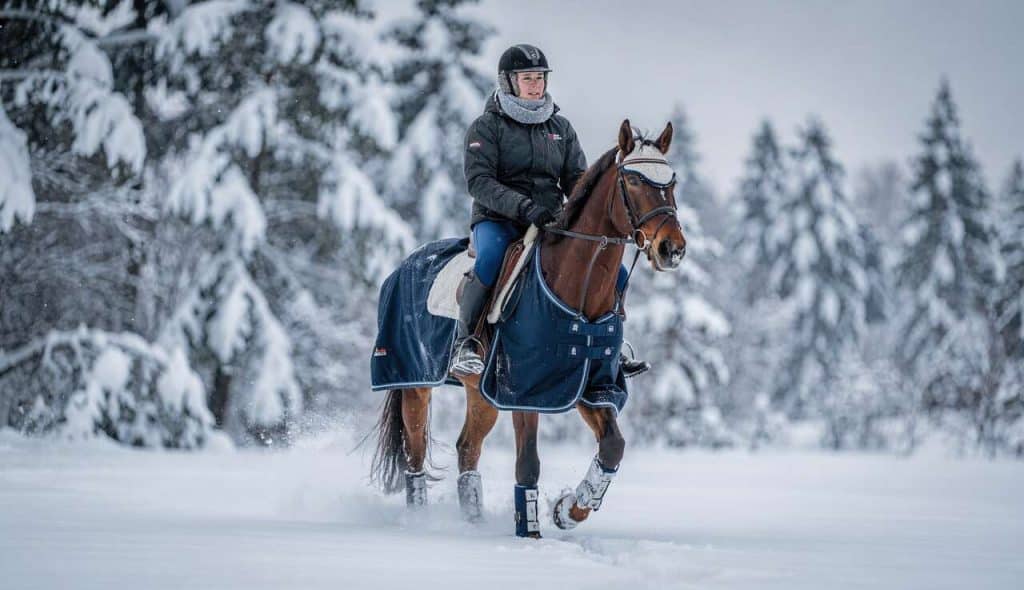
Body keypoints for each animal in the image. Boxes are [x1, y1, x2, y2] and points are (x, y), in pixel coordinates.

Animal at [369, 119, 687, 537]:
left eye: (672, 180)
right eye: (632, 180)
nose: (672, 249)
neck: (577, 289)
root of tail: (403, 266)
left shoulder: (588, 385)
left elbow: (612, 447)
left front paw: (569, 509)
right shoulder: (523, 388)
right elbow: (529, 462)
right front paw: (531, 531)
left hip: (481, 394)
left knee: (467, 449)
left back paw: (473, 521)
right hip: (414, 384)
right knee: (415, 454)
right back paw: (419, 520)